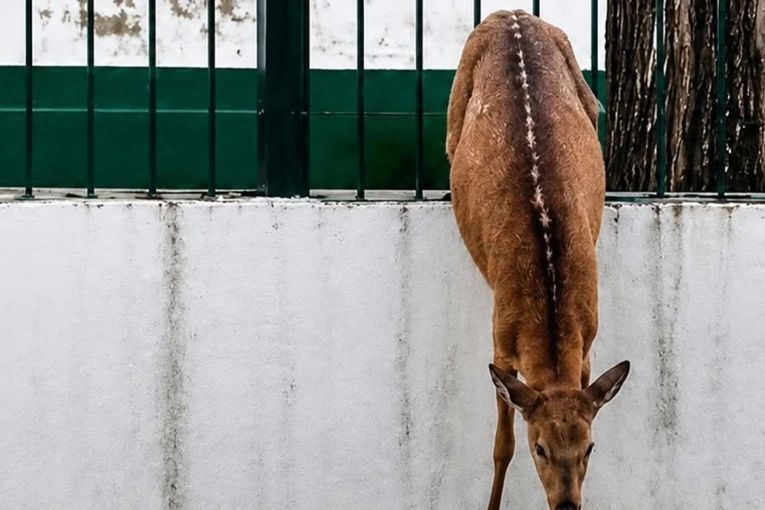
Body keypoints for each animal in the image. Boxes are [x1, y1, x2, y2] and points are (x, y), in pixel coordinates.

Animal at [446, 10, 630, 510]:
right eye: (540, 447)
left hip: (589, 98)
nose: (567, 504)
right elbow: (500, 446)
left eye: (590, 446)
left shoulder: (588, 339)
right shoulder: (500, 340)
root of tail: (509, 13)